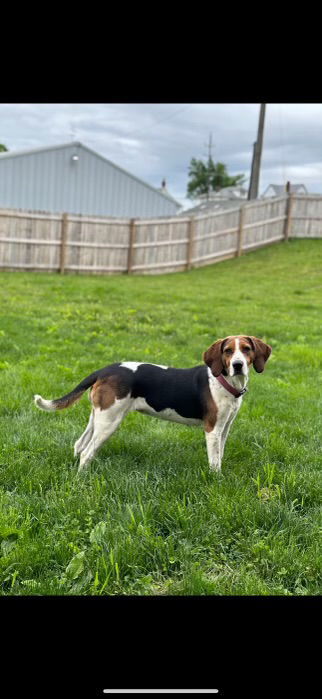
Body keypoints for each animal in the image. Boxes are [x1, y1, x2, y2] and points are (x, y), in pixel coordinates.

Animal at [34, 334, 272, 476]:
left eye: (247, 349)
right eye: (228, 351)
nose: (238, 365)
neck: (224, 381)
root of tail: (105, 370)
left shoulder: (225, 428)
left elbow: (219, 455)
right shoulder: (212, 429)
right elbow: (214, 461)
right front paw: (217, 481)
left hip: (99, 416)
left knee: (79, 445)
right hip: (110, 422)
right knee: (87, 452)